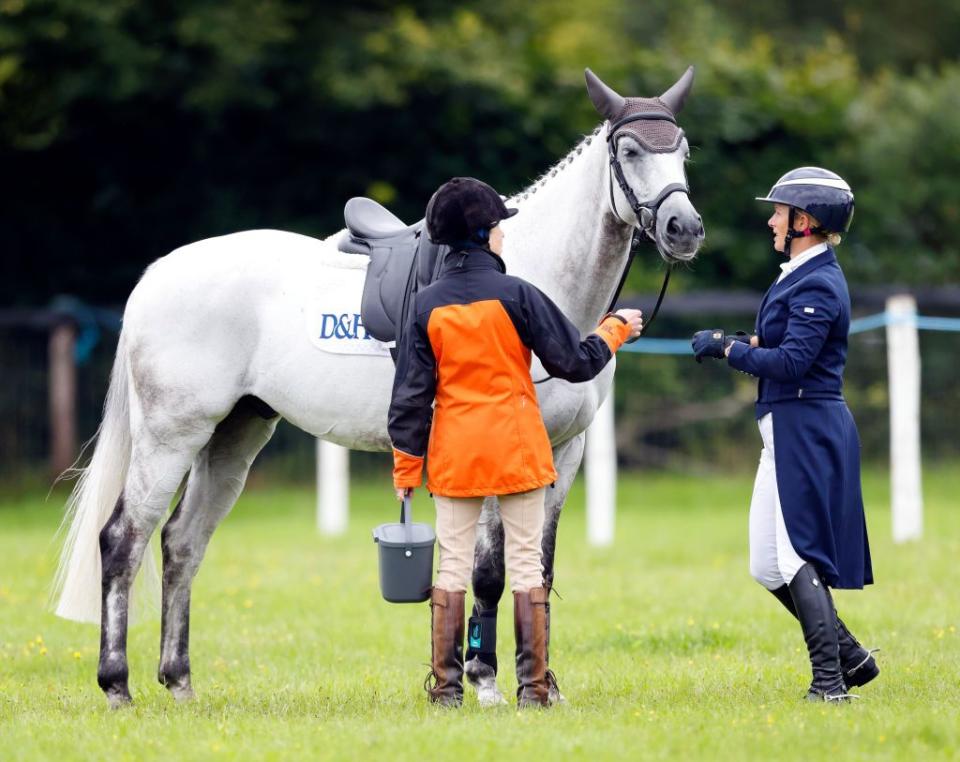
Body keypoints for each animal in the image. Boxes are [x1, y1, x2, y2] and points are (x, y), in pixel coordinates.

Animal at [52, 68, 700, 704]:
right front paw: (485, 680)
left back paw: (179, 682)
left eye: (683, 150)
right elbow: (489, 571)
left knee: (183, 544)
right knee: (124, 538)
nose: (684, 227)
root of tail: (156, 275)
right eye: (630, 150)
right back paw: (117, 685)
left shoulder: (564, 454)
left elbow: (537, 566)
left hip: (234, 436)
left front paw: (539, 686)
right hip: (171, 436)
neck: (536, 281)